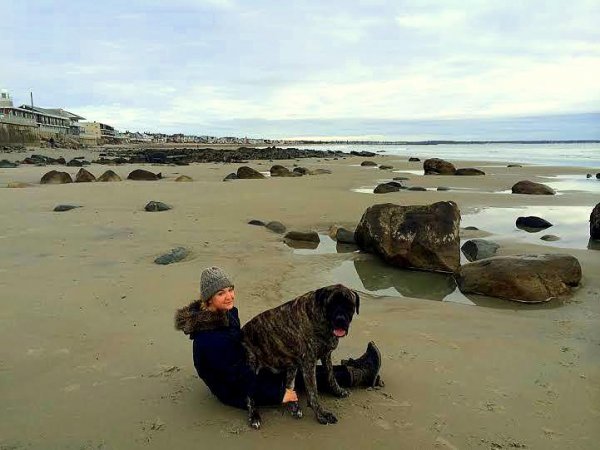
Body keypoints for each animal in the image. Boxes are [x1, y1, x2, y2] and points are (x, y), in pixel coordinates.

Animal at [243, 284, 360, 428]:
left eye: (349, 304)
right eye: (331, 304)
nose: (340, 320)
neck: (321, 320)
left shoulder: (326, 355)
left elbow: (331, 377)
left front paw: (338, 391)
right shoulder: (309, 363)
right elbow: (313, 392)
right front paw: (321, 414)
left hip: (292, 365)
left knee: (289, 385)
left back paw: (294, 406)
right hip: (252, 364)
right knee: (250, 395)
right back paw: (254, 416)